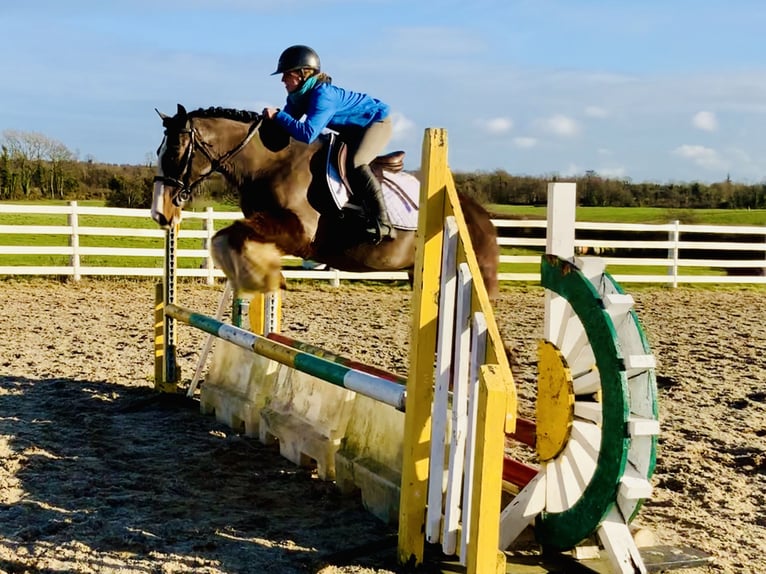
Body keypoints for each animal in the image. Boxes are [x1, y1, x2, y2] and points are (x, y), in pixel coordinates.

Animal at [151, 104, 500, 300]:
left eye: (174, 152)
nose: (160, 213)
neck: (271, 163)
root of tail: (482, 217)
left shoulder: (299, 232)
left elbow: (227, 235)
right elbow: (232, 236)